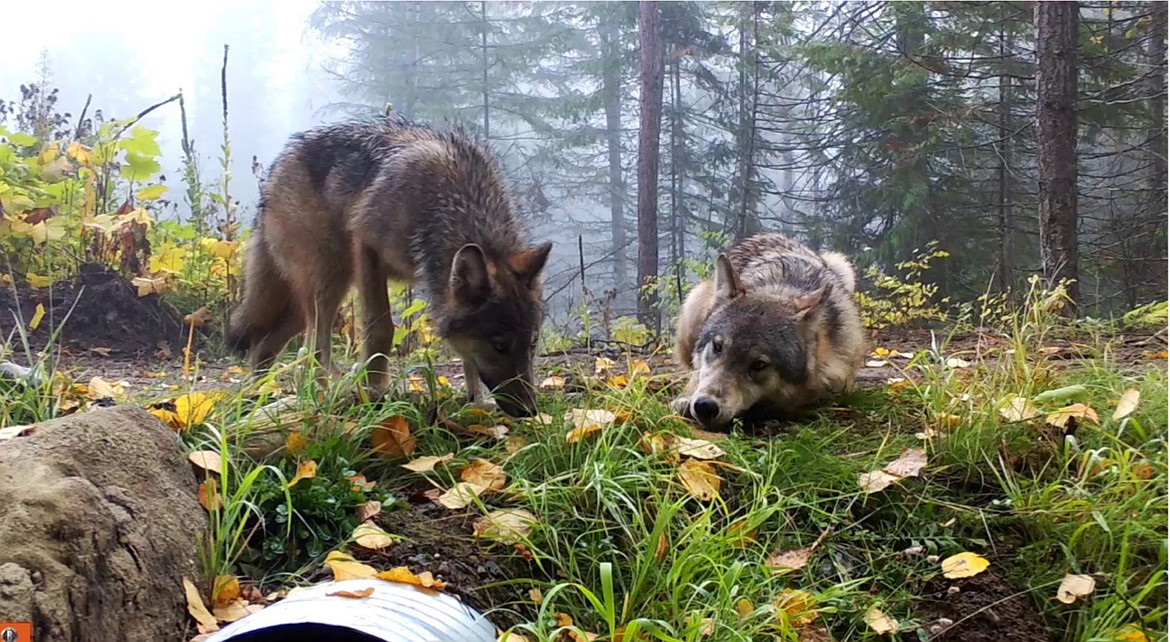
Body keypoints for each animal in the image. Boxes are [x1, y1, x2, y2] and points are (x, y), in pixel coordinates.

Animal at [231, 115, 556, 418]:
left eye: (531, 344)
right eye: (499, 346)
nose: (530, 410)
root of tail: (275, 171)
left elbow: (467, 357)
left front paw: (478, 401)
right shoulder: (367, 248)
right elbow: (381, 329)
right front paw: (375, 390)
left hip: (310, 300)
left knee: (266, 345)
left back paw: (258, 397)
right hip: (327, 282)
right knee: (312, 349)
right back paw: (319, 396)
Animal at [673, 232, 865, 428]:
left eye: (759, 364)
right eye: (717, 347)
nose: (705, 406)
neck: (781, 288)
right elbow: (695, 377)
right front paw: (685, 400)